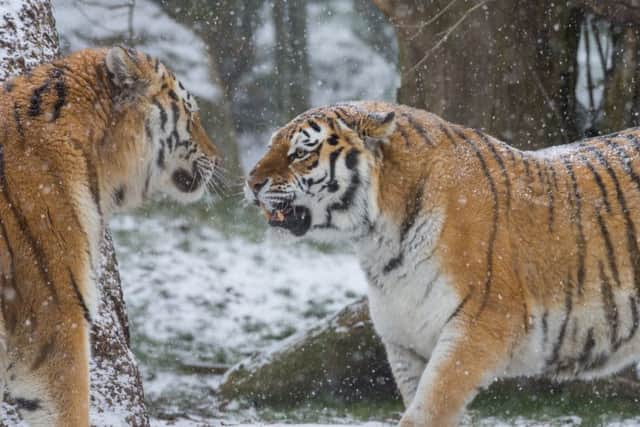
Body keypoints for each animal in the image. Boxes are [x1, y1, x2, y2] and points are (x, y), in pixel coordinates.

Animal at [245, 100, 640, 426]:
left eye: (300, 153)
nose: (251, 183)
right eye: (271, 145)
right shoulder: (403, 344)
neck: (380, 243)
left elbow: (427, 411)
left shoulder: (477, 329)